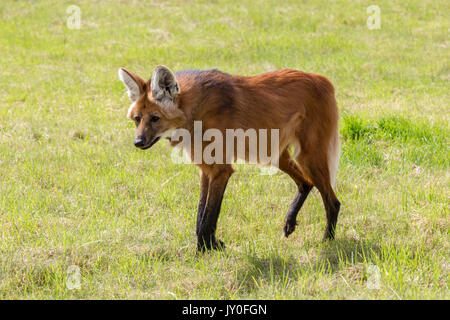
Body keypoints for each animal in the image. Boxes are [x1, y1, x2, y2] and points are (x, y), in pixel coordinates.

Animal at [118, 66, 340, 251]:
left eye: (155, 118)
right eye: (137, 119)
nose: (138, 142)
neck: (195, 112)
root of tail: (323, 79)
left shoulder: (220, 170)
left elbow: (208, 217)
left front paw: (204, 252)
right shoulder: (206, 170)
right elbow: (201, 215)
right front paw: (211, 247)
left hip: (308, 157)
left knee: (333, 201)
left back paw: (327, 240)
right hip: (275, 155)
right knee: (306, 183)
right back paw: (290, 222)